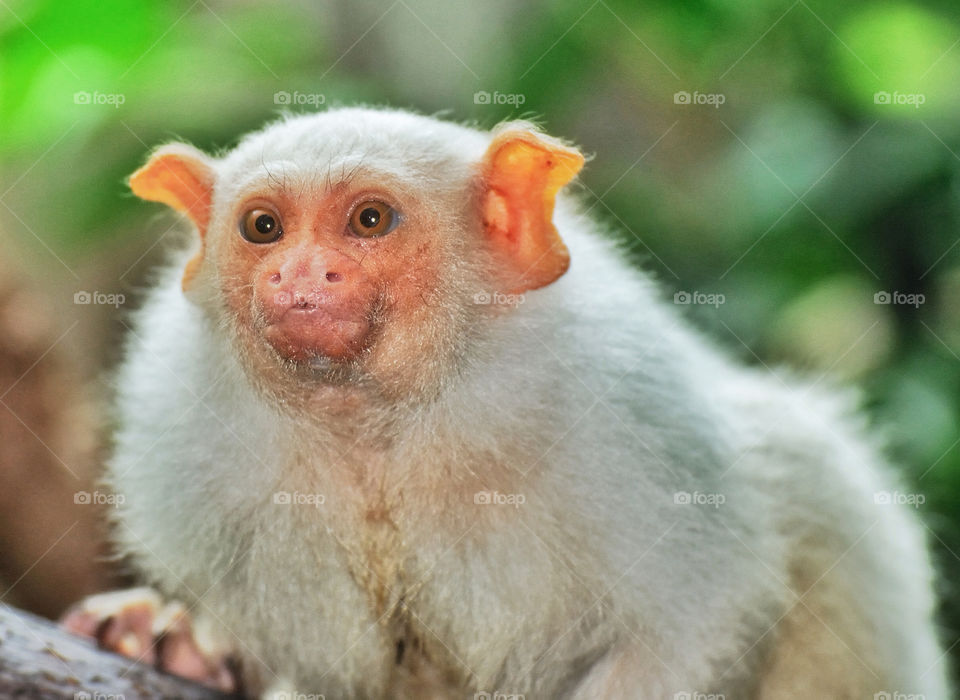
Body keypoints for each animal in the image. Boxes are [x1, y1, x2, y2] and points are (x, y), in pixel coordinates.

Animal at [62, 107, 949, 699]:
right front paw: (181, 641)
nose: (297, 275)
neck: (377, 433)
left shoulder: (627, 415)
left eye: (369, 219)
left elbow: (693, 620)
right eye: (263, 228)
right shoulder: (183, 422)